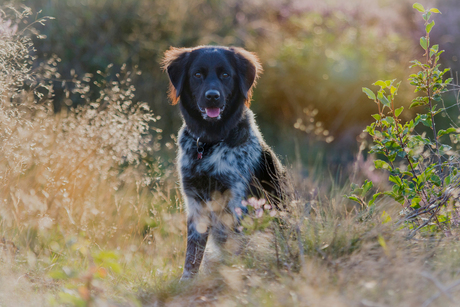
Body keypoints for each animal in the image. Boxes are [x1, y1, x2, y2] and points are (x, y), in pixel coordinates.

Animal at [162, 46, 284, 282]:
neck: (209, 144)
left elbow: (237, 247)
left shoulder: (237, 200)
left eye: (226, 75)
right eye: (197, 74)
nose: (212, 97)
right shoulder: (194, 201)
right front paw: (187, 282)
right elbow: (192, 255)